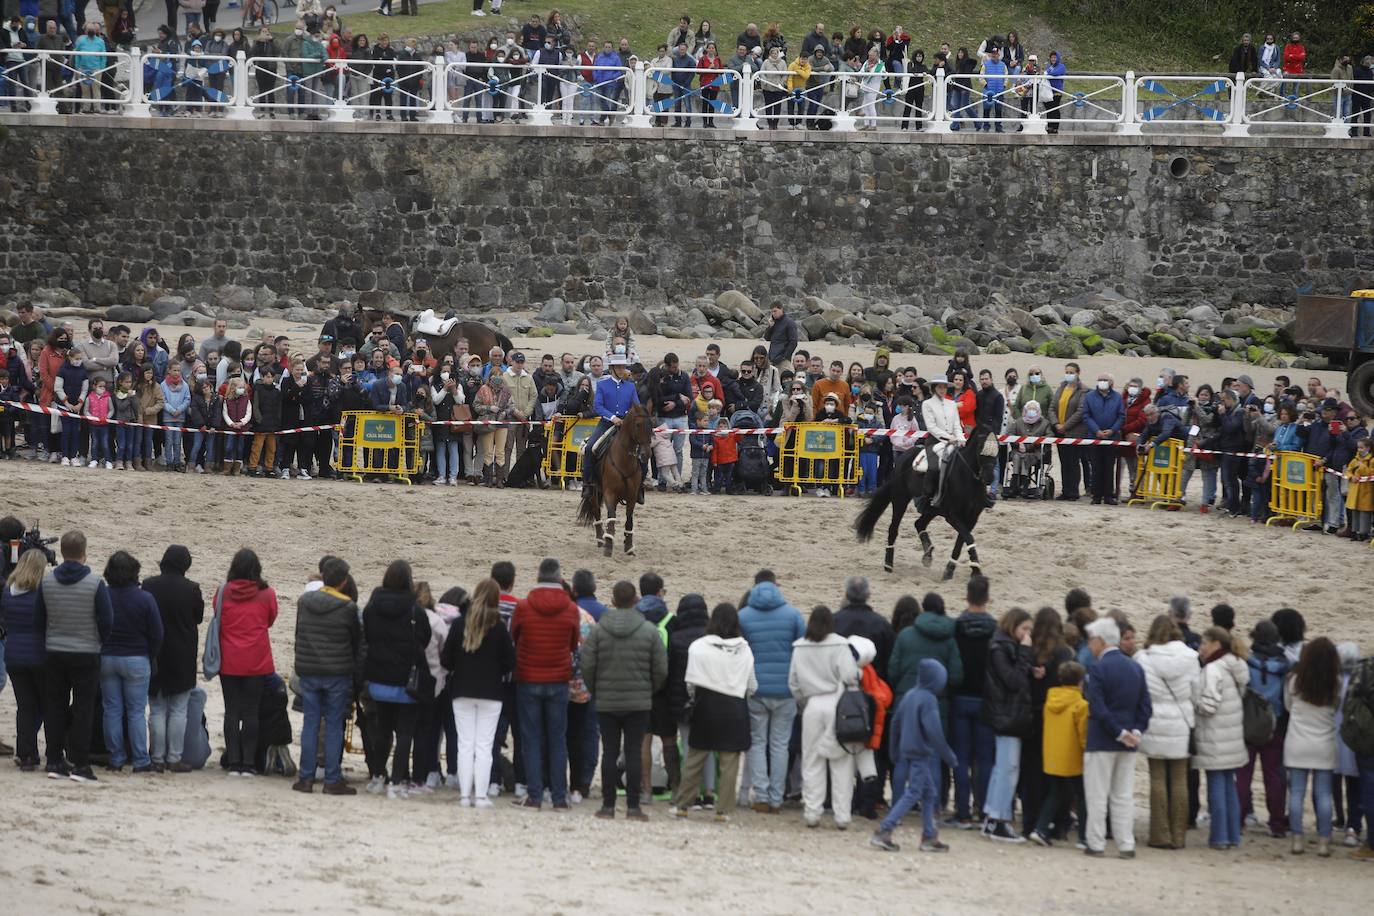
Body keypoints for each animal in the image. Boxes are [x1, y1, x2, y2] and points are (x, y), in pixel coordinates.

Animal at [574, 406, 648, 560]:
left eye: (652, 424)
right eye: (638, 425)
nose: (646, 454)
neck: (624, 459)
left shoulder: (632, 495)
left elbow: (629, 519)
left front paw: (629, 546)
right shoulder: (610, 493)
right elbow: (611, 517)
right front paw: (608, 544)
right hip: (594, 493)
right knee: (596, 512)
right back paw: (601, 539)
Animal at [857, 431, 989, 579]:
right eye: (981, 448)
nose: (989, 476)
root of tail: (903, 458)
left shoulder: (971, 518)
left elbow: (962, 540)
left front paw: (965, 570)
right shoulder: (952, 516)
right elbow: (968, 538)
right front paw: (969, 570)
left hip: (932, 510)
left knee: (919, 523)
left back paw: (927, 555)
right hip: (900, 499)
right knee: (894, 528)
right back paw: (888, 564)